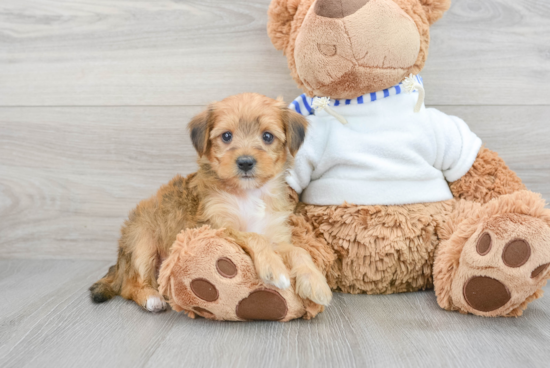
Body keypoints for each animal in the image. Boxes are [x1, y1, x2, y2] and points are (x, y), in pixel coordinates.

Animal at [90, 93, 332, 312]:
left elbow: (298, 251)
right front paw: (275, 268)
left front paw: (316, 283)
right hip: (143, 243)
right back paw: (151, 298)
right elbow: (253, 237)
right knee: (129, 286)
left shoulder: (276, 234)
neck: (249, 194)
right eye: (226, 136)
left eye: (267, 136)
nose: (245, 162)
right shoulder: (217, 227)